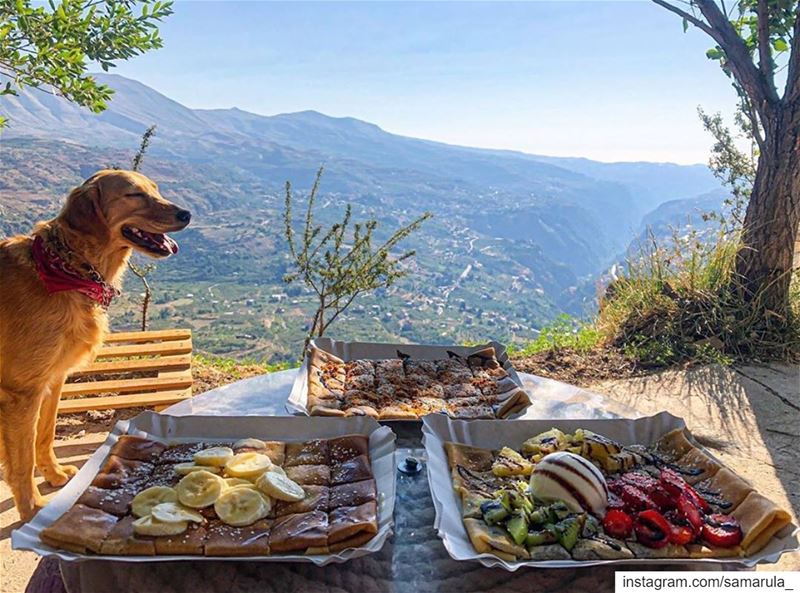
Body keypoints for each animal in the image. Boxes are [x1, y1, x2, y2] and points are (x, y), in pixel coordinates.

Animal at [0, 170, 191, 520]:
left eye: (155, 189)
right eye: (134, 194)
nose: (186, 214)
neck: (65, 267)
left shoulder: (53, 379)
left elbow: (45, 435)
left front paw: (53, 474)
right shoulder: (22, 392)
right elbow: (22, 460)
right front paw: (32, 509)